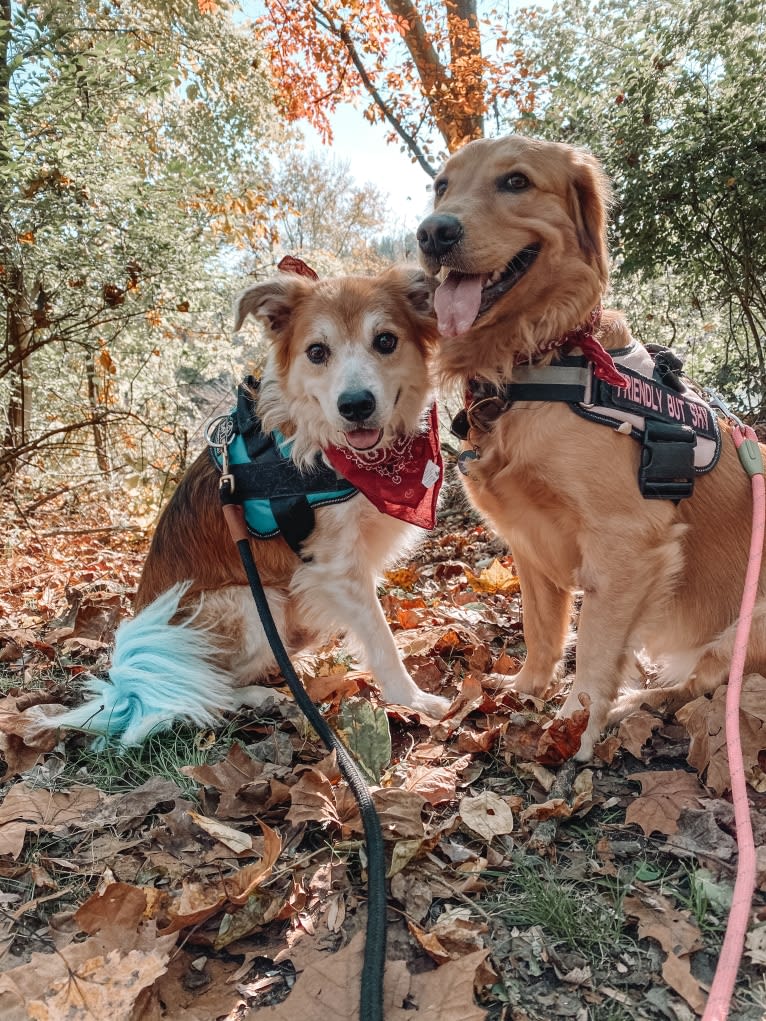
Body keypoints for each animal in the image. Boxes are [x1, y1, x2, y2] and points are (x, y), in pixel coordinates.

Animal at [31, 263, 449, 743]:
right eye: (317, 351)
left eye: (385, 341)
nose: (355, 405)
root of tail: (136, 682)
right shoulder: (337, 569)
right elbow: (381, 640)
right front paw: (414, 700)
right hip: (251, 604)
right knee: (207, 688)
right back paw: (261, 694)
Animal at [420, 133, 766, 759]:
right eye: (442, 186)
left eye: (516, 181)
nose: (432, 233)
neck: (540, 358)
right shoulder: (527, 540)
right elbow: (541, 631)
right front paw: (527, 689)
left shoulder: (627, 539)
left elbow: (598, 647)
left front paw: (575, 725)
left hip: (751, 625)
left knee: (703, 684)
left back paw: (638, 702)